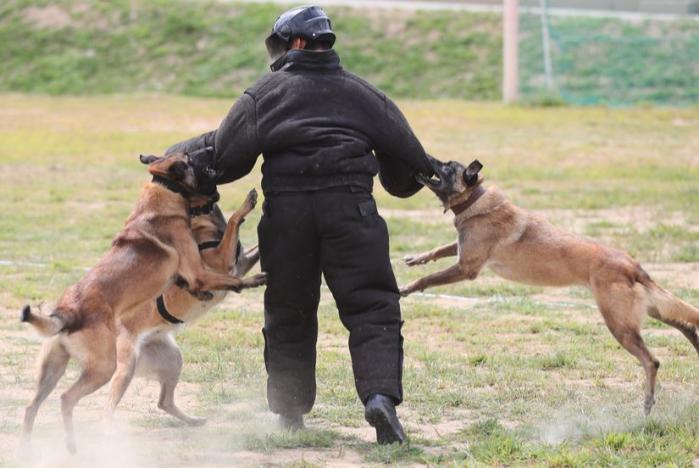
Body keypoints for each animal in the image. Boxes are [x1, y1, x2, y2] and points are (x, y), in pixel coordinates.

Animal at [106, 188, 262, 426]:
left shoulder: (241, 263)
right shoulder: (222, 259)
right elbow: (234, 221)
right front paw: (246, 204)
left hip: (173, 358)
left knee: (164, 402)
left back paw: (193, 420)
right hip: (127, 368)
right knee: (108, 407)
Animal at [400, 157, 699, 414]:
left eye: (447, 166)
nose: (426, 157)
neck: (475, 200)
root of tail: (632, 264)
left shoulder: (466, 268)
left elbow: (428, 278)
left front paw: (406, 288)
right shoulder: (462, 253)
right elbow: (440, 249)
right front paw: (417, 258)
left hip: (620, 324)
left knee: (652, 360)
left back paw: (648, 402)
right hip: (648, 310)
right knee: (684, 324)